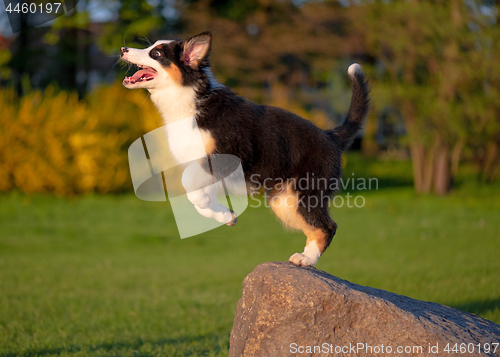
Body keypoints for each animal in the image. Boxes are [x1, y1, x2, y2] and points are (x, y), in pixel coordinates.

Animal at [120, 30, 370, 266]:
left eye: (156, 53)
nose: (123, 49)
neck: (190, 101)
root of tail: (331, 136)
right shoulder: (206, 169)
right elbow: (197, 198)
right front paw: (226, 216)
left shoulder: (225, 156)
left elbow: (189, 184)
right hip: (284, 201)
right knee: (315, 226)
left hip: (304, 192)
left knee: (328, 225)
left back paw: (306, 259)